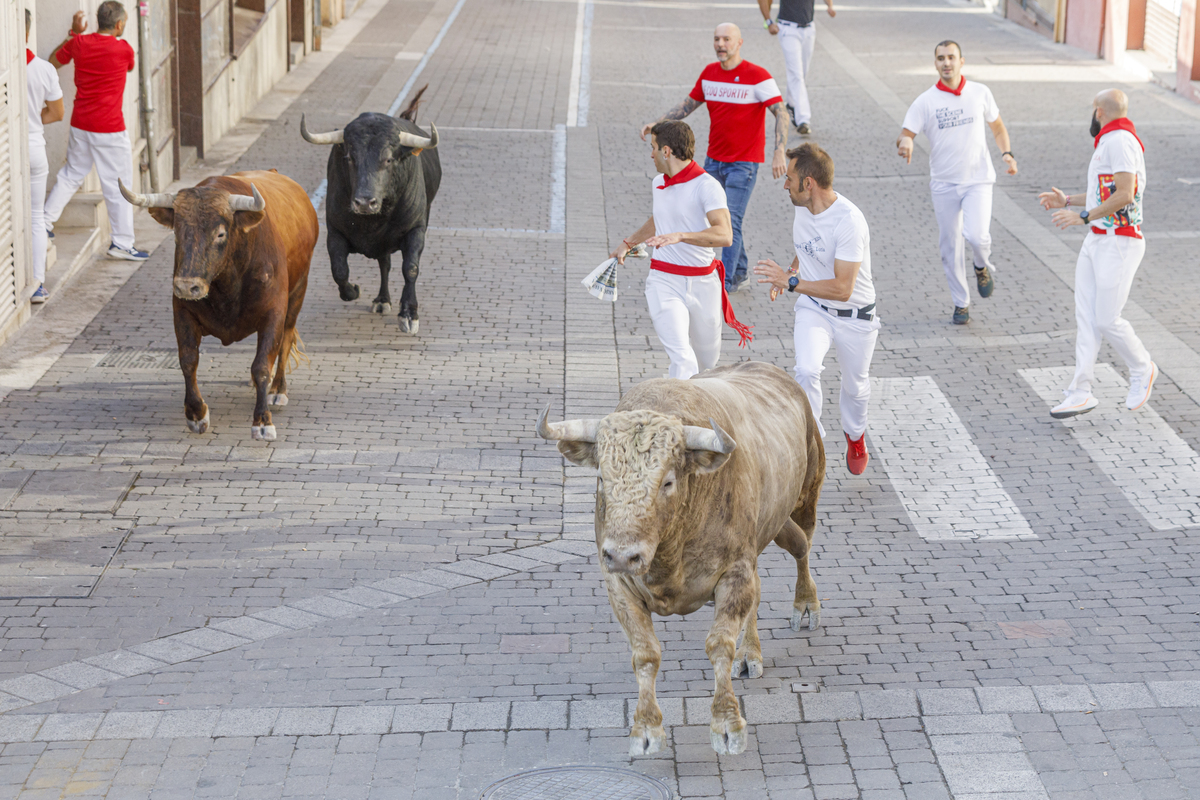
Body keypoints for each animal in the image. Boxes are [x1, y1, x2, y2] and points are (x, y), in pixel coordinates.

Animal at [119, 171, 319, 441]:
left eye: (221, 234)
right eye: (176, 233)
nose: (187, 286)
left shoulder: (274, 313)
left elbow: (261, 365)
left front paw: (262, 421)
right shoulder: (182, 311)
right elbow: (188, 360)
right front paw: (196, 414)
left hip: (298, 292)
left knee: (286, 339)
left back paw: (277, 389)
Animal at [302, 94, 444, 335]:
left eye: (388, 159)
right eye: (350, 158)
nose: (364, 202)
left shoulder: (416, 230)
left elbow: (410, 268)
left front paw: (409, 314)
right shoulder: (334, 231)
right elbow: (339, 270)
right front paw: (353, 290)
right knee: (384, 264)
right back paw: (382, 299)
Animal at [537, 362, 825, 758]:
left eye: (667, 482)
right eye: (601, 478)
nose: (623, 555)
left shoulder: (734, 572)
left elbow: (719, 644)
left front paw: (727, 725)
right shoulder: (618, 584)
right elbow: (645, 653)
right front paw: (645, 729)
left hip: (806, 494)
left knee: (804, 547)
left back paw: (805, 605)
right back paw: (750, 653)